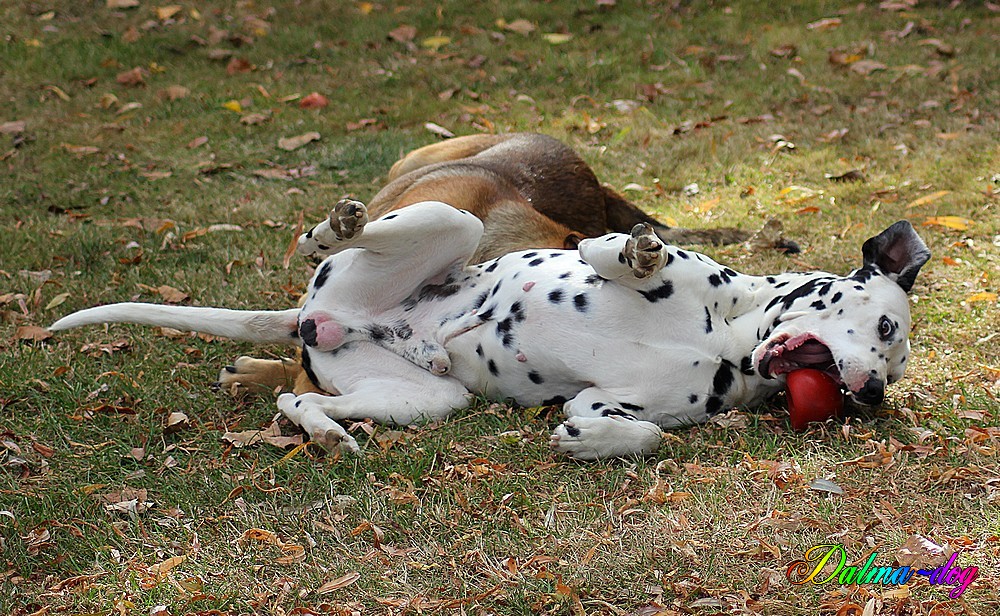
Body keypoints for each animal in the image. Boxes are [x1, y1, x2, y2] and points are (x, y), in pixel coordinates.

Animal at [52, 200, 928, 460]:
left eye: (894, 366)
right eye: (884, 322)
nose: (871, 394)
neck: (725, 337)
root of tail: (317, 318)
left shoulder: (613, 399)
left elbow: (642, 432)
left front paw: (590, 443)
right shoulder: (631, 261)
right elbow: (614, 252)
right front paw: (635, 254)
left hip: (424, 402)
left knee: (300, 404)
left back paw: (326, 432)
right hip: (452, 220)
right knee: (337, 238)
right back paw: (333, 229)